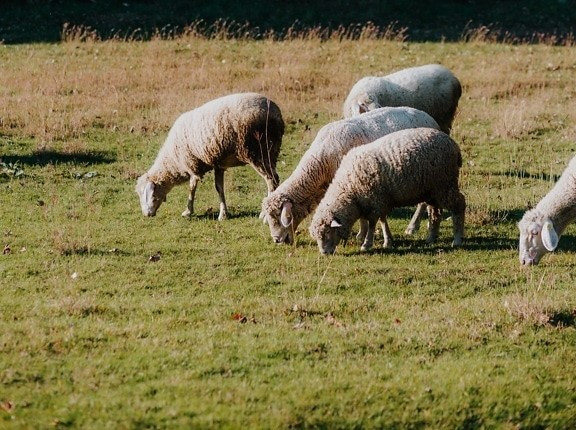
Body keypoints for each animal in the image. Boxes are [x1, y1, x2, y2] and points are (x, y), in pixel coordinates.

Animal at [138, 92, 286, 220]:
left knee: (271, 180)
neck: (173, 160)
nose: (146, 215)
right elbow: (219, 188)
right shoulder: (218, 164)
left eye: (150, 195)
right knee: (275, 178)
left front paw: (188, 211)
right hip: (271, 151)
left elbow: (192, 187)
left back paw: (264, 214)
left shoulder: (193, 164)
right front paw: (223, 214)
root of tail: (275, 111)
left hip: (257, 152)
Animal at [260, 105, 440, 244]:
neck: (322, 161)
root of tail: (430, 118)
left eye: (279, 217)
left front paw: (361, 234)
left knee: (424, 202)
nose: (277, 240)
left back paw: (413, 226)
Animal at [308, 127, 466, 255]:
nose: (324, 253)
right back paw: (431, 238)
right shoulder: (379, 200)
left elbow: (373, 223)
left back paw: (457, 239)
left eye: (328, 232)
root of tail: (454, 145)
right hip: (433, 190)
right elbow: (383, 220)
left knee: (459, 204)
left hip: (445, 184)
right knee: (435, 213)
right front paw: (388, 241)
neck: (349, 189)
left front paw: (367, 244)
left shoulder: (375, 200)